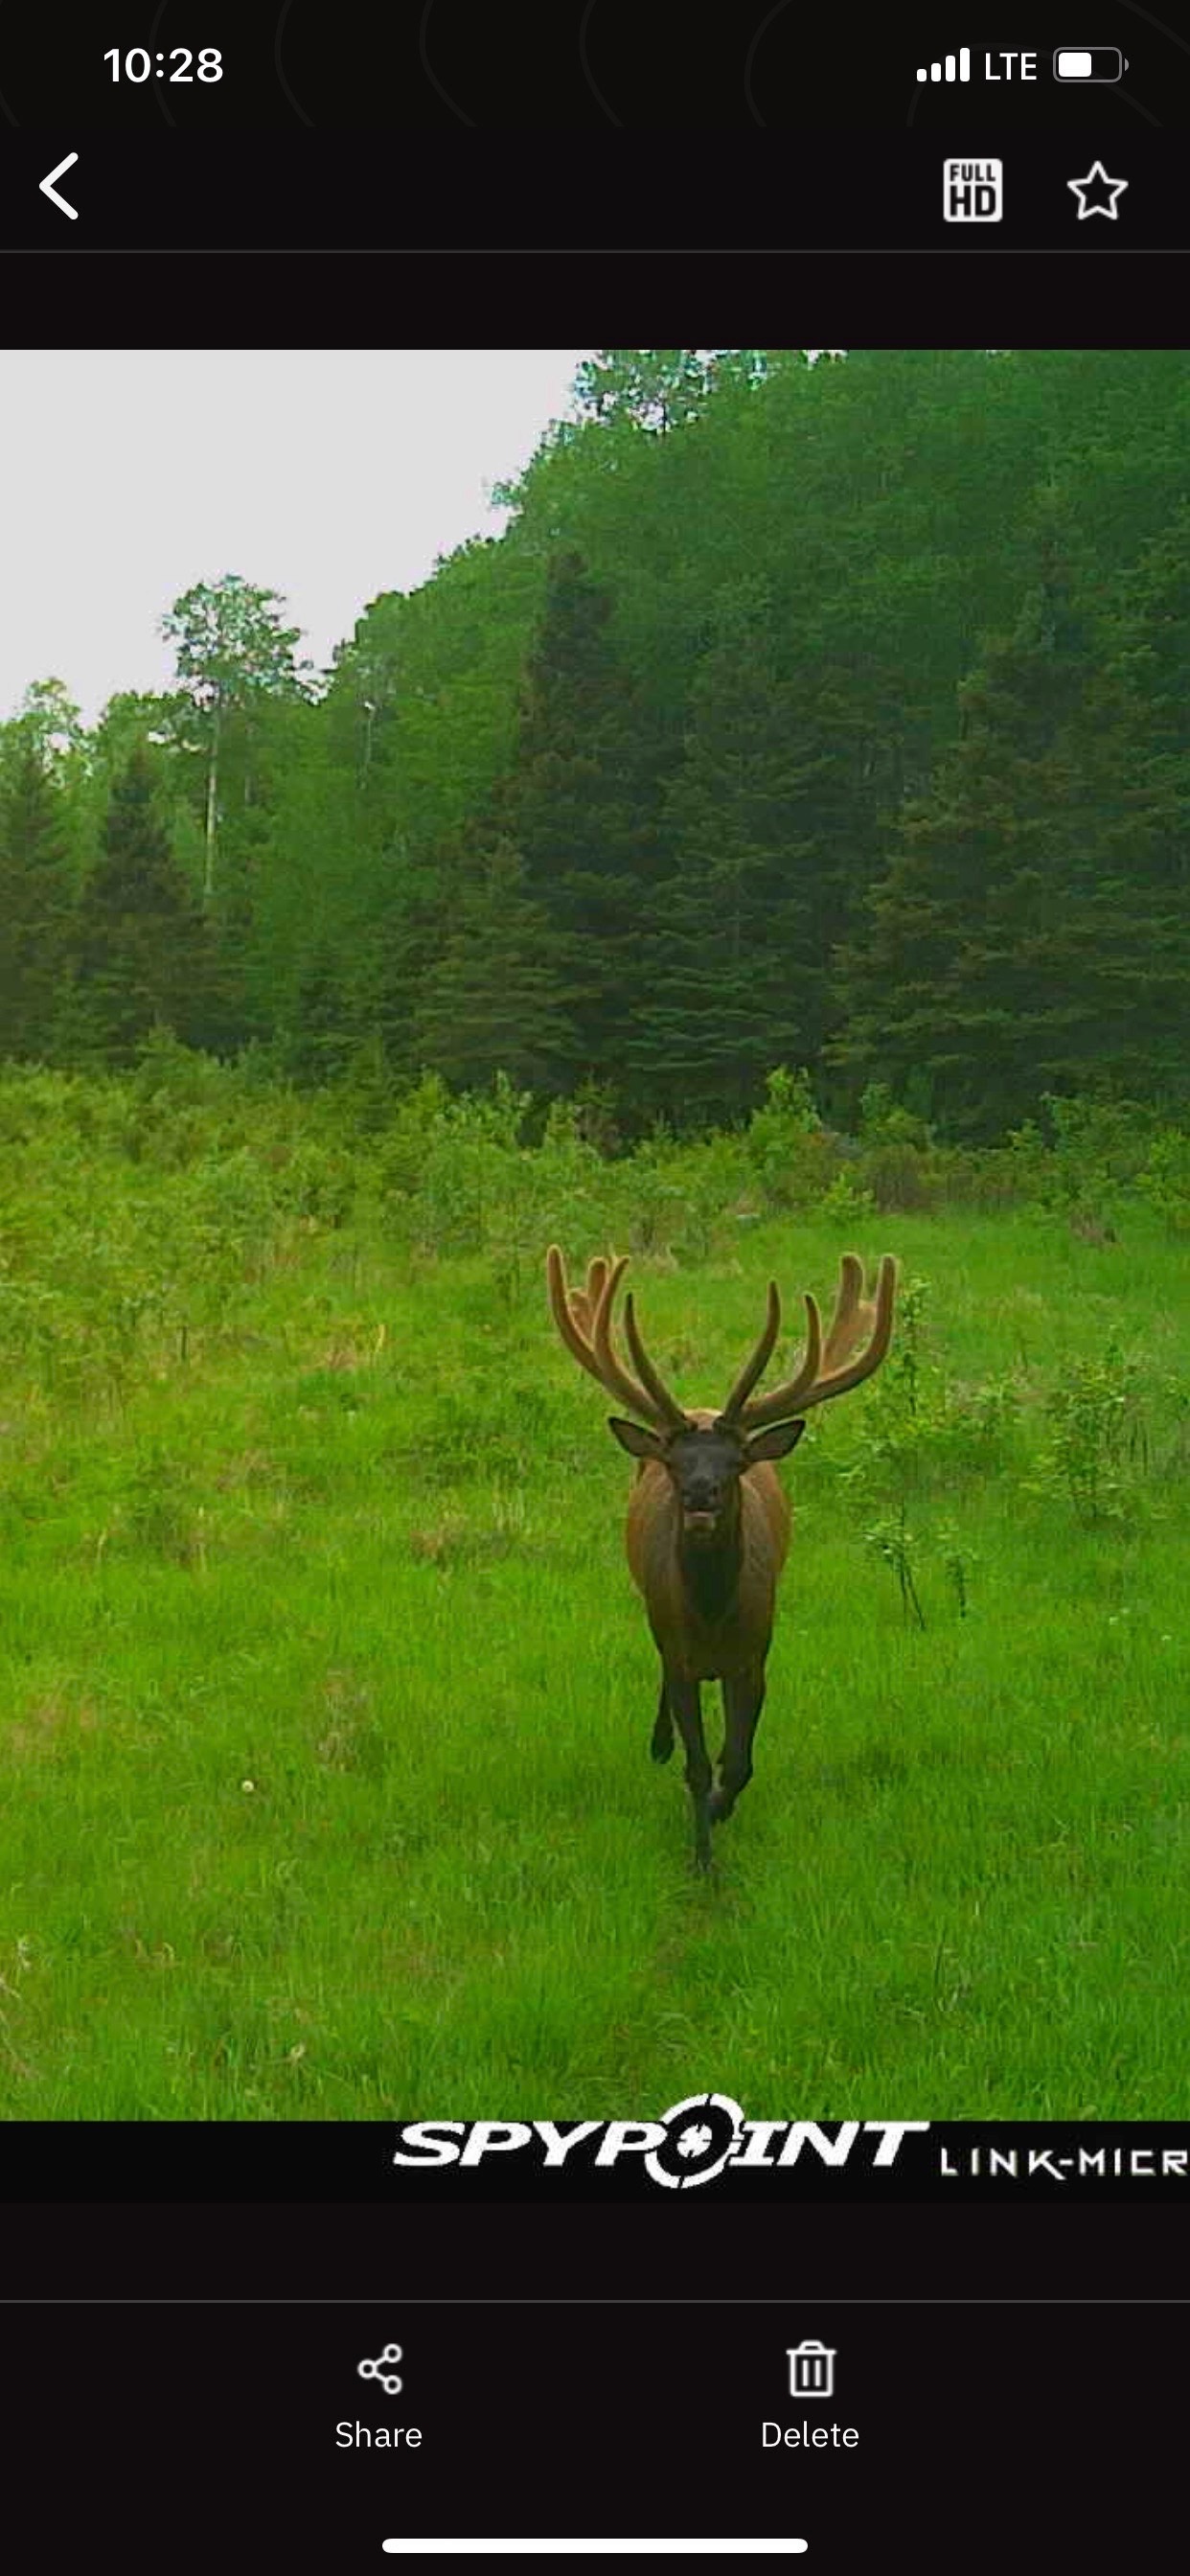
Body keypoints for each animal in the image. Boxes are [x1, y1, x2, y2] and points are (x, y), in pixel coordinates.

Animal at [547, 1244, 897, 1868]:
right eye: (672, 1463)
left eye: (735, 1464)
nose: (700, 1496)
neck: (712, 1617)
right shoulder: (678, 1651)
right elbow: (696, 1764)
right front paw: (702, 1855)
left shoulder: (755, 1656)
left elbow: (737, 1764)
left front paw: (717, 1811)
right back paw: (658, 1744)